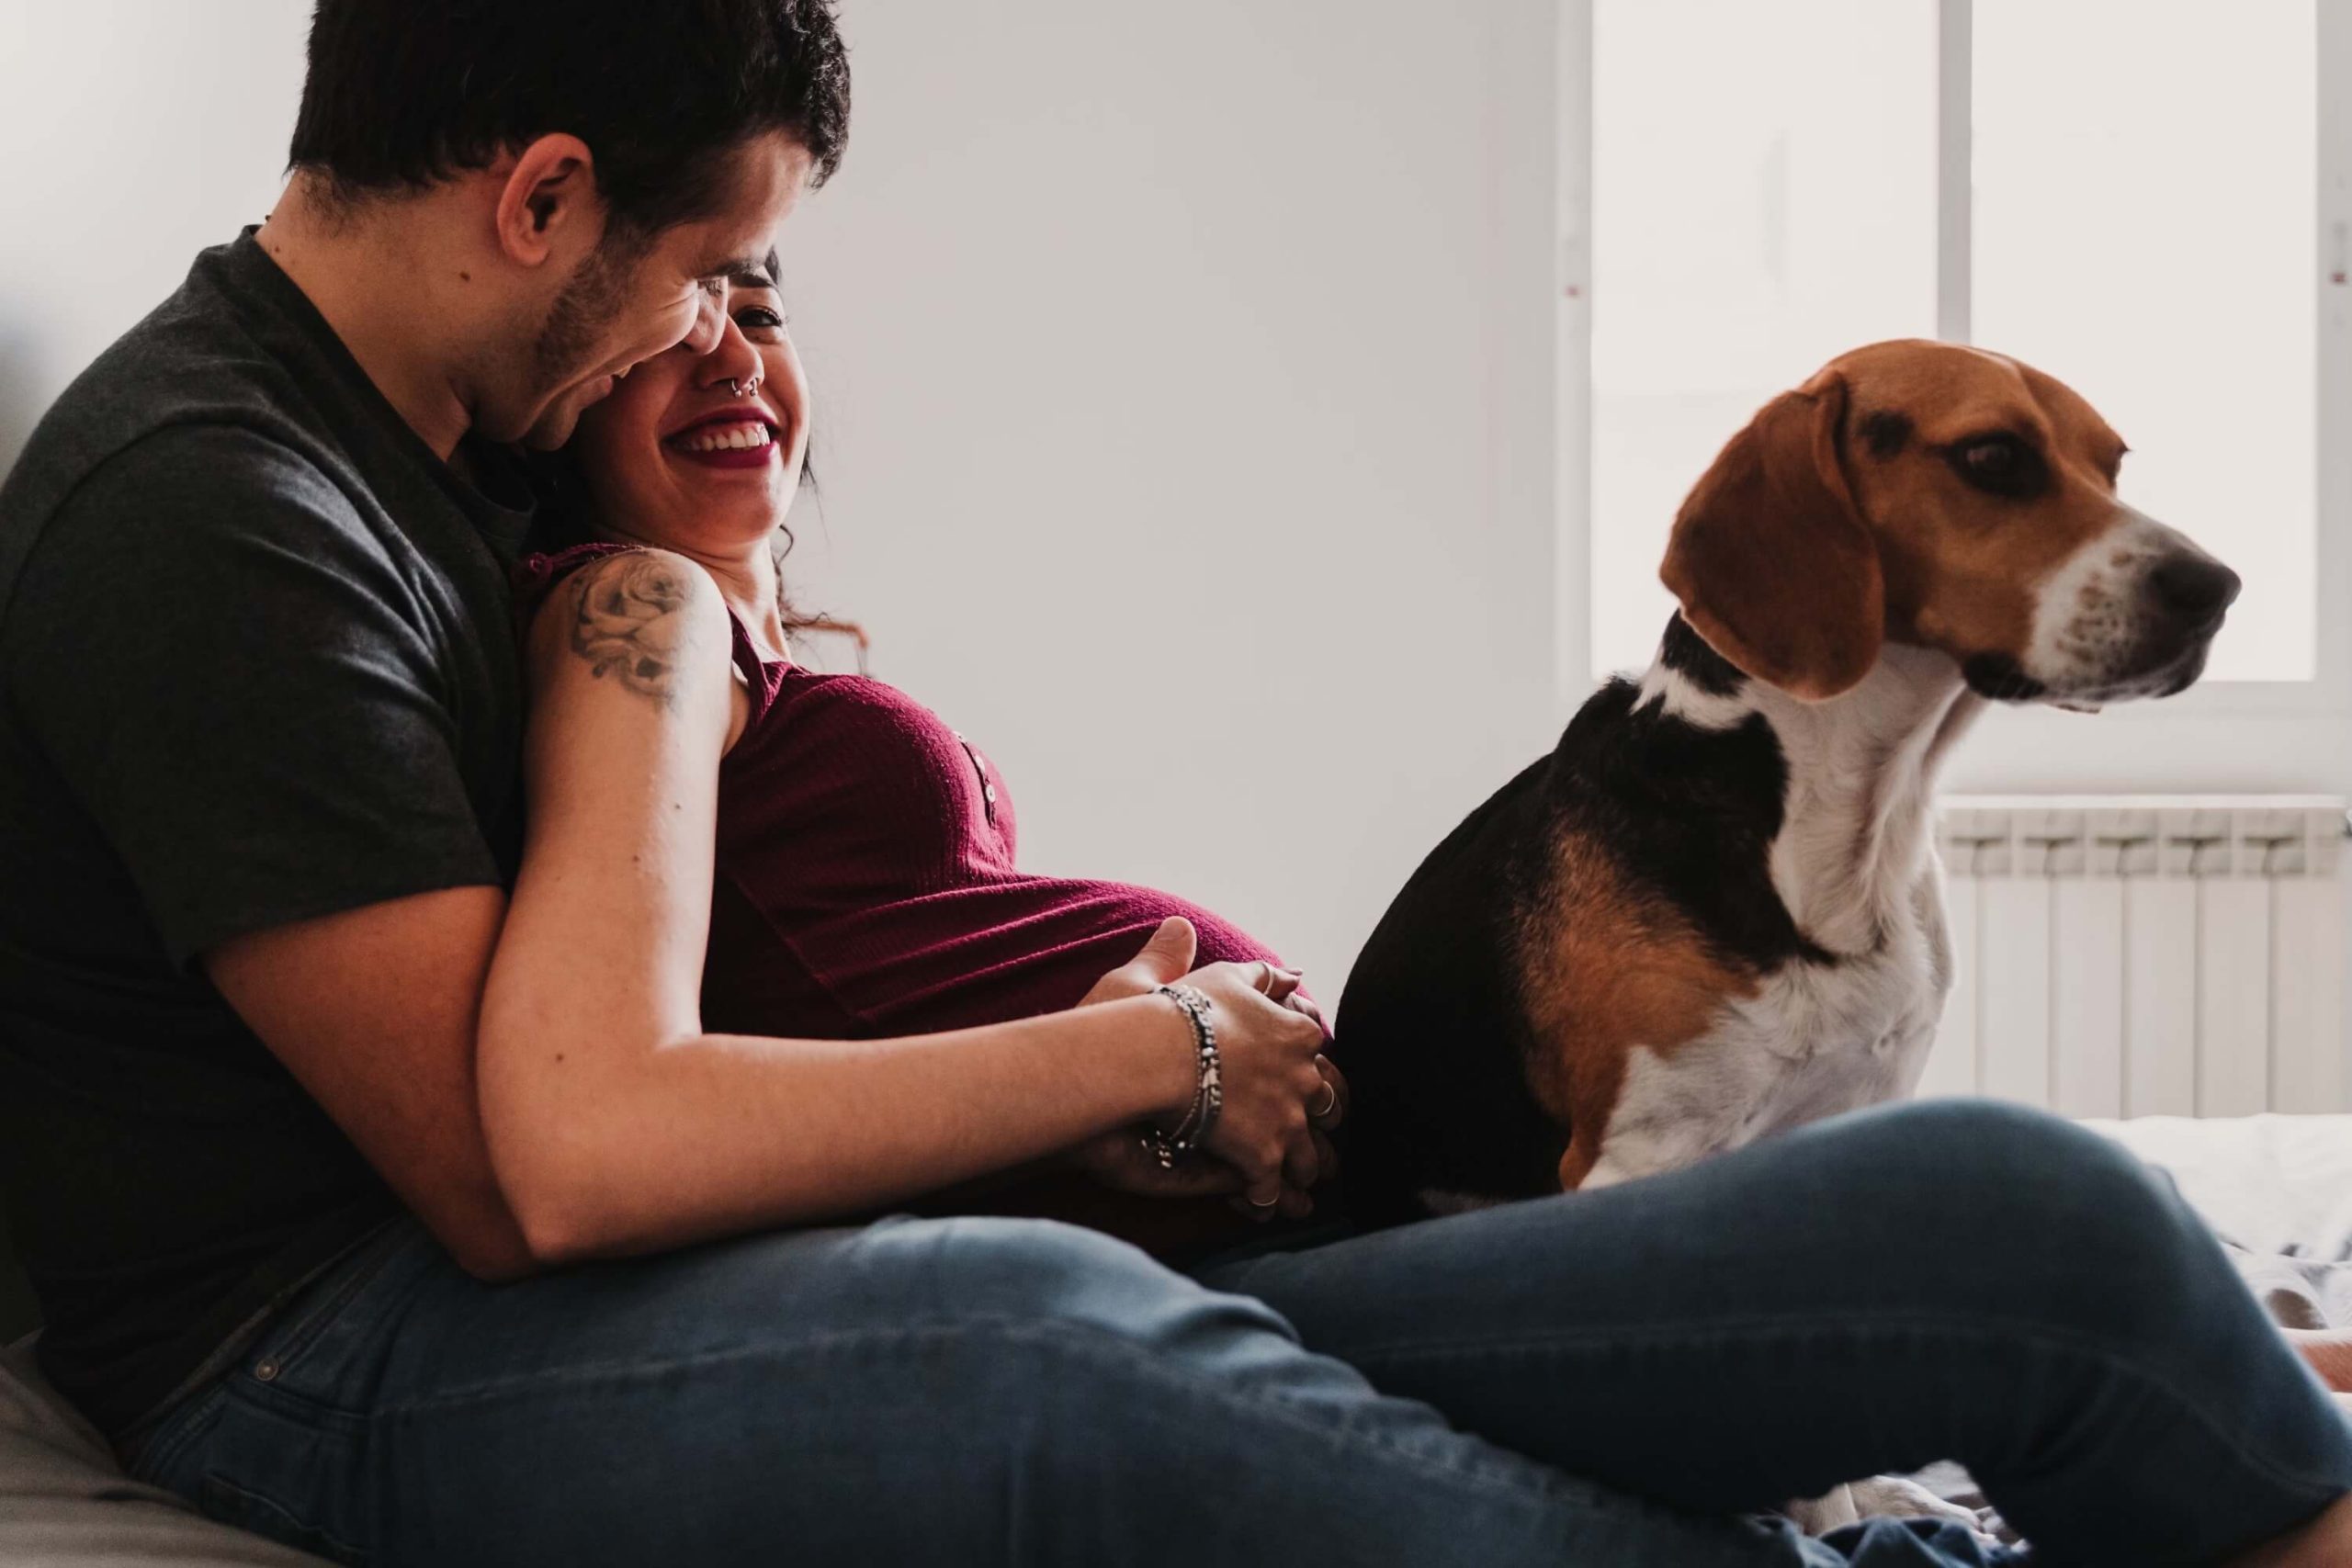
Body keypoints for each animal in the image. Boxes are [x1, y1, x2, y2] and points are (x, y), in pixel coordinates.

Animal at [1336, 338, 2229, 1222]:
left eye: (2112, 467)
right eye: (1993, 456)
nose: (2217, 588)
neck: (1853, 819)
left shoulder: (1863, 1107)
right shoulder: (1642, 1151)